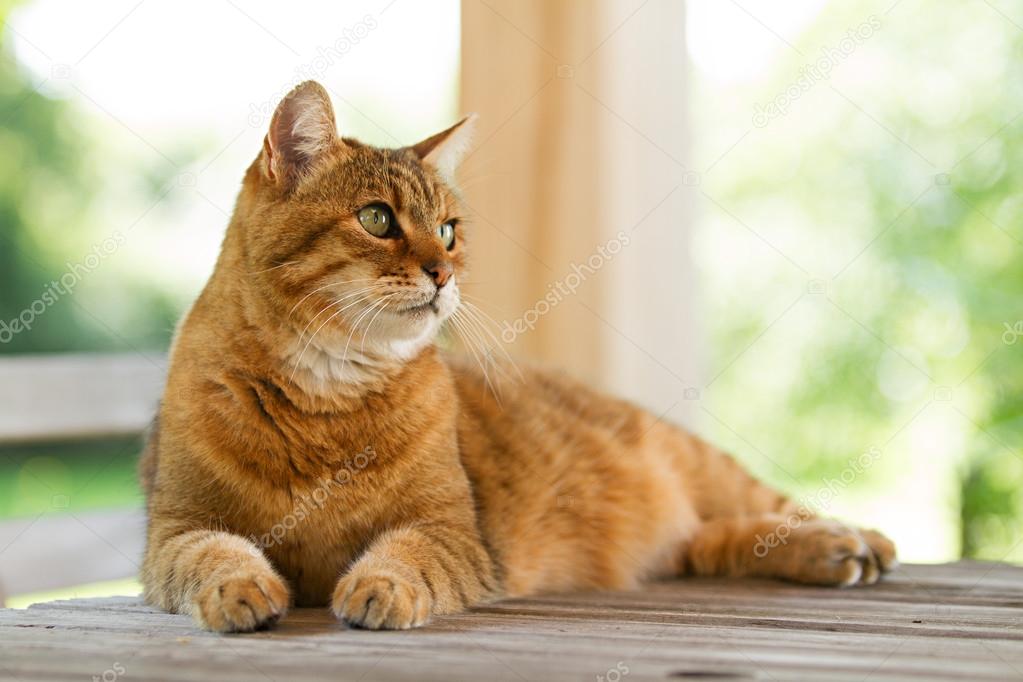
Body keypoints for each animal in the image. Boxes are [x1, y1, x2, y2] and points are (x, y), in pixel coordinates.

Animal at [138, 81, 896, 633]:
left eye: (449, 229)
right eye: (377, 218)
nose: (443, 272)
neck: (328, 395)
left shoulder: (452, 533)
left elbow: (404, 553)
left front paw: (378, 585)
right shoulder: (173, 531)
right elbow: (212, 554)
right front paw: (241, 586)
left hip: (701, 465)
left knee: (770, 509)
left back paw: (851, 541)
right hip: (685, 536)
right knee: (718, 541)